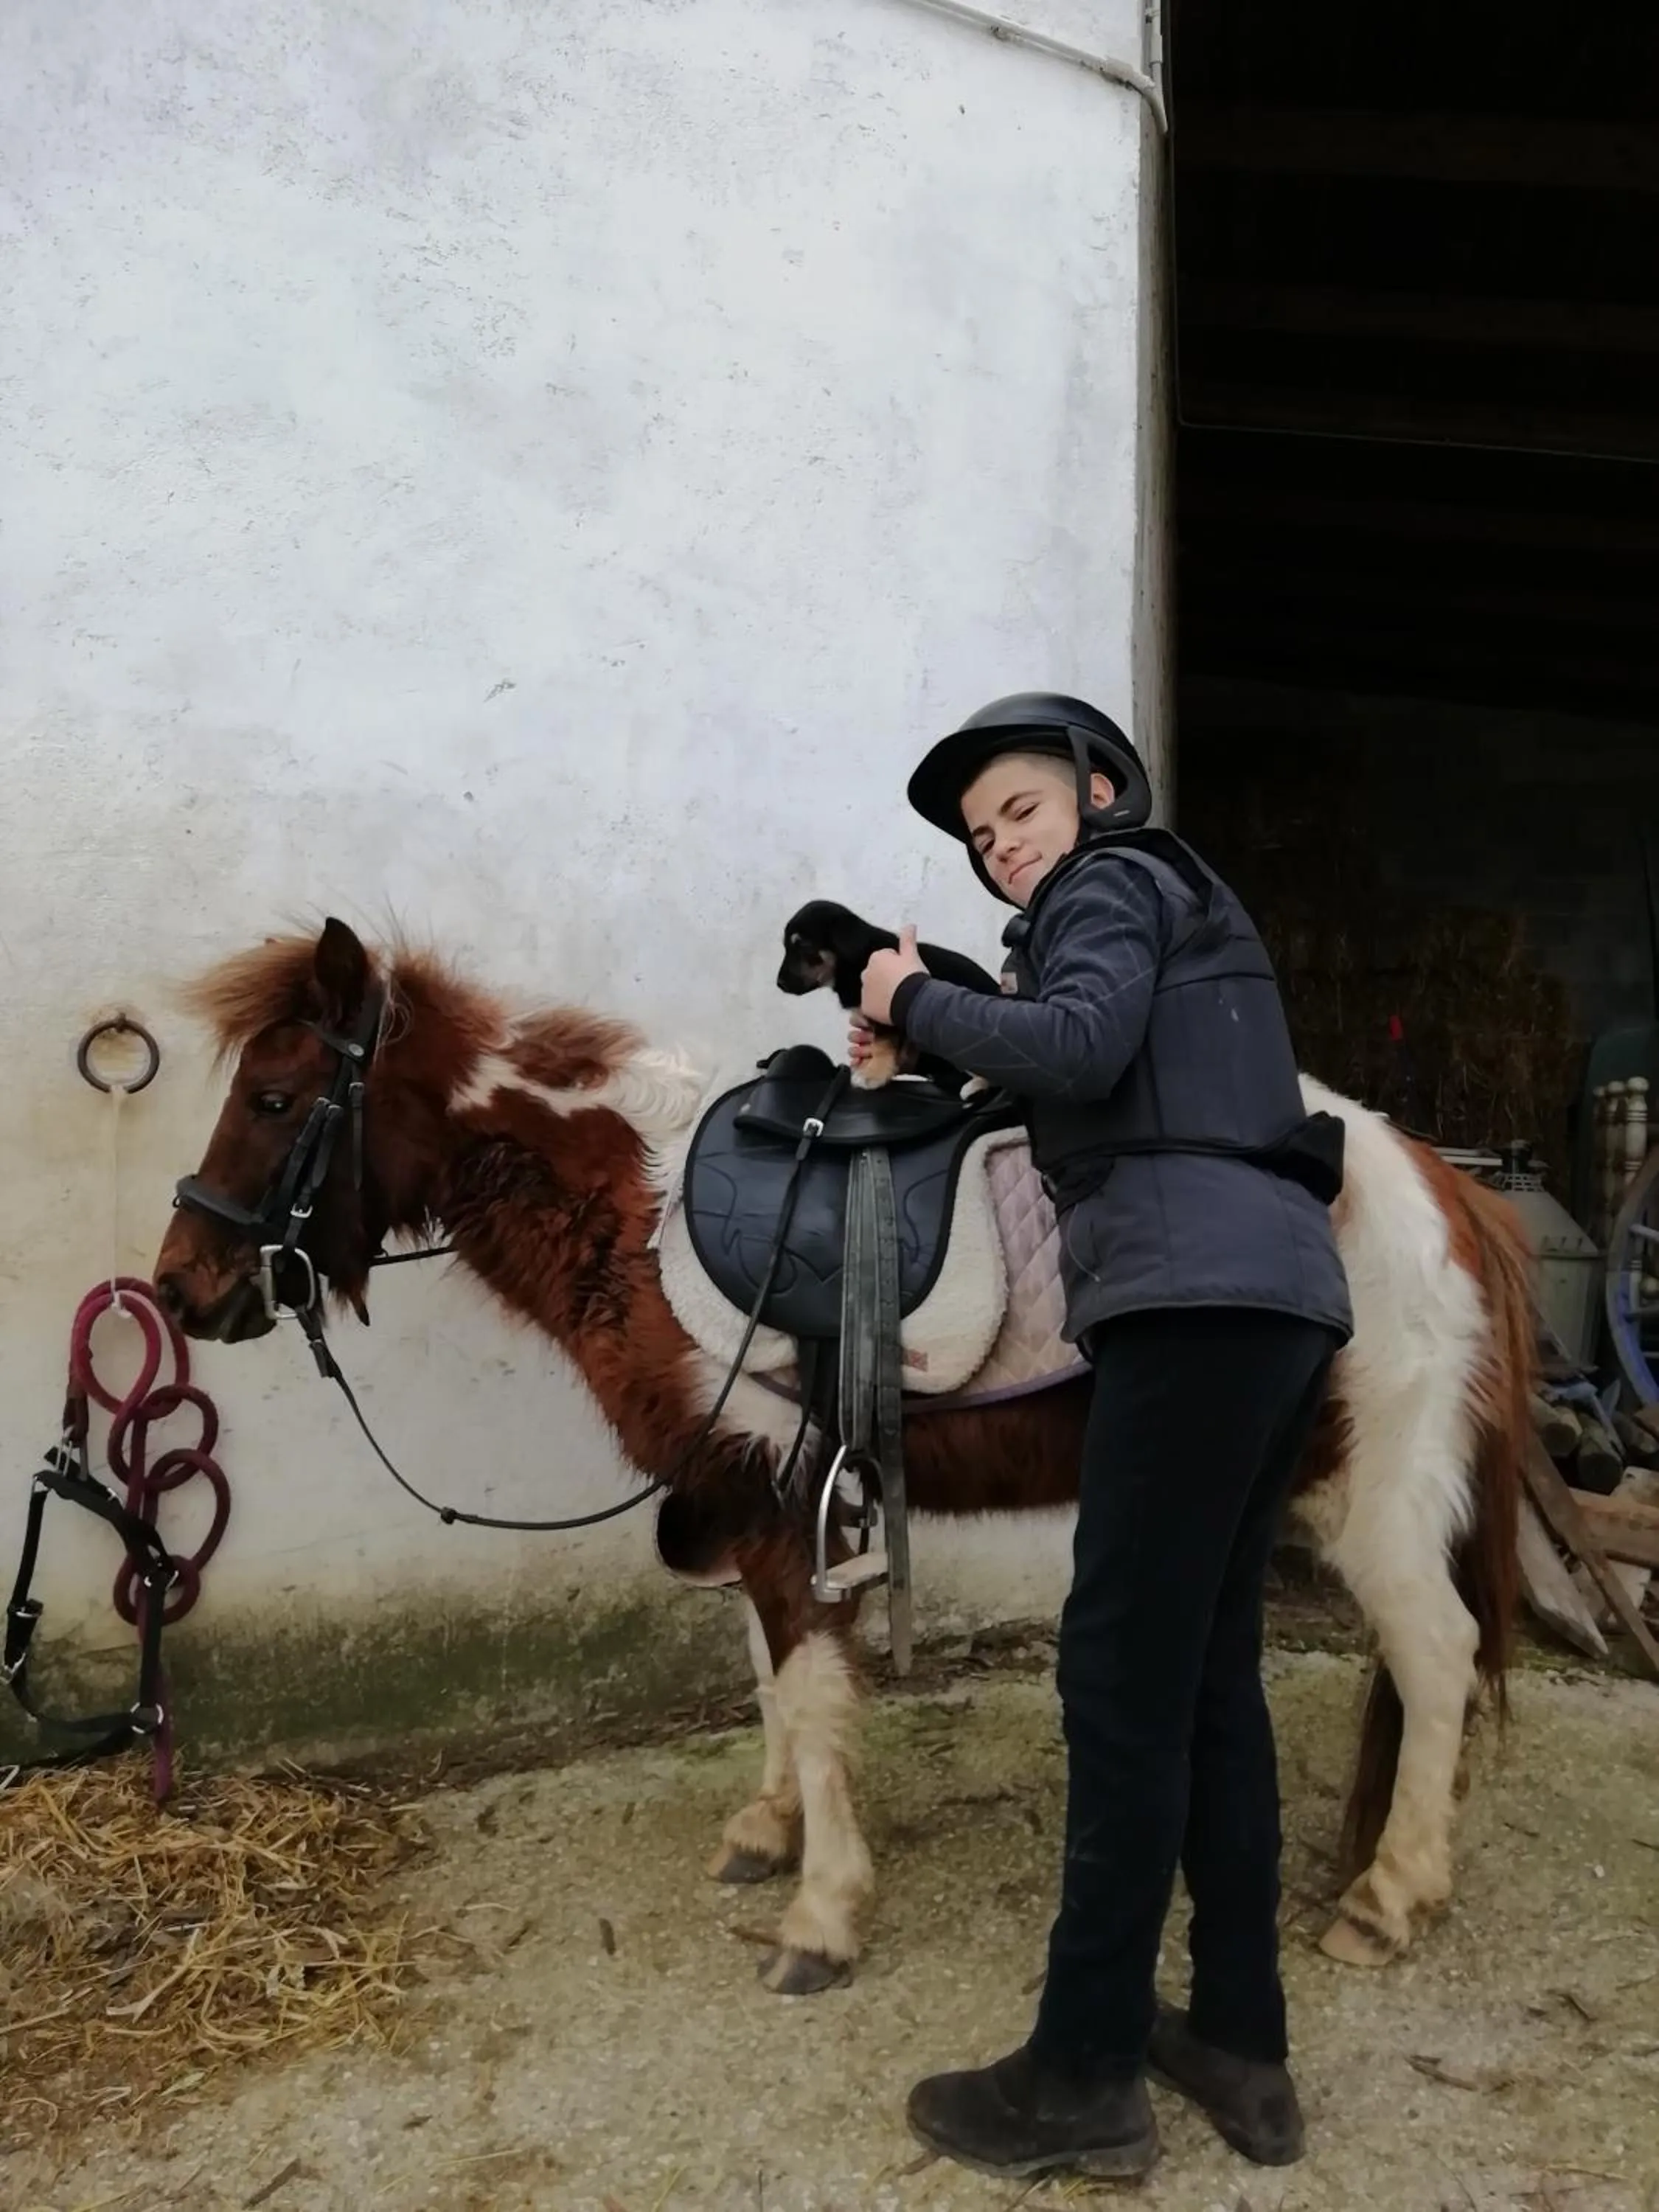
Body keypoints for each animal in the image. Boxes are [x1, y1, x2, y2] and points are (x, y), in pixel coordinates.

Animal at [152, 917, 1536, 1997]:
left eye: (275, 1100)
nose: (181, 1288)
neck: (635, 1218)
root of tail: (1434, 1183)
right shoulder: (734, 1496)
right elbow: (769, 1681)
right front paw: (769, 1828)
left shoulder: (781, 1507)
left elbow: (812, 1695)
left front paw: (819, 1917)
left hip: (1376, 1496)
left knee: (1438, 1657)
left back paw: (1391, 1895)